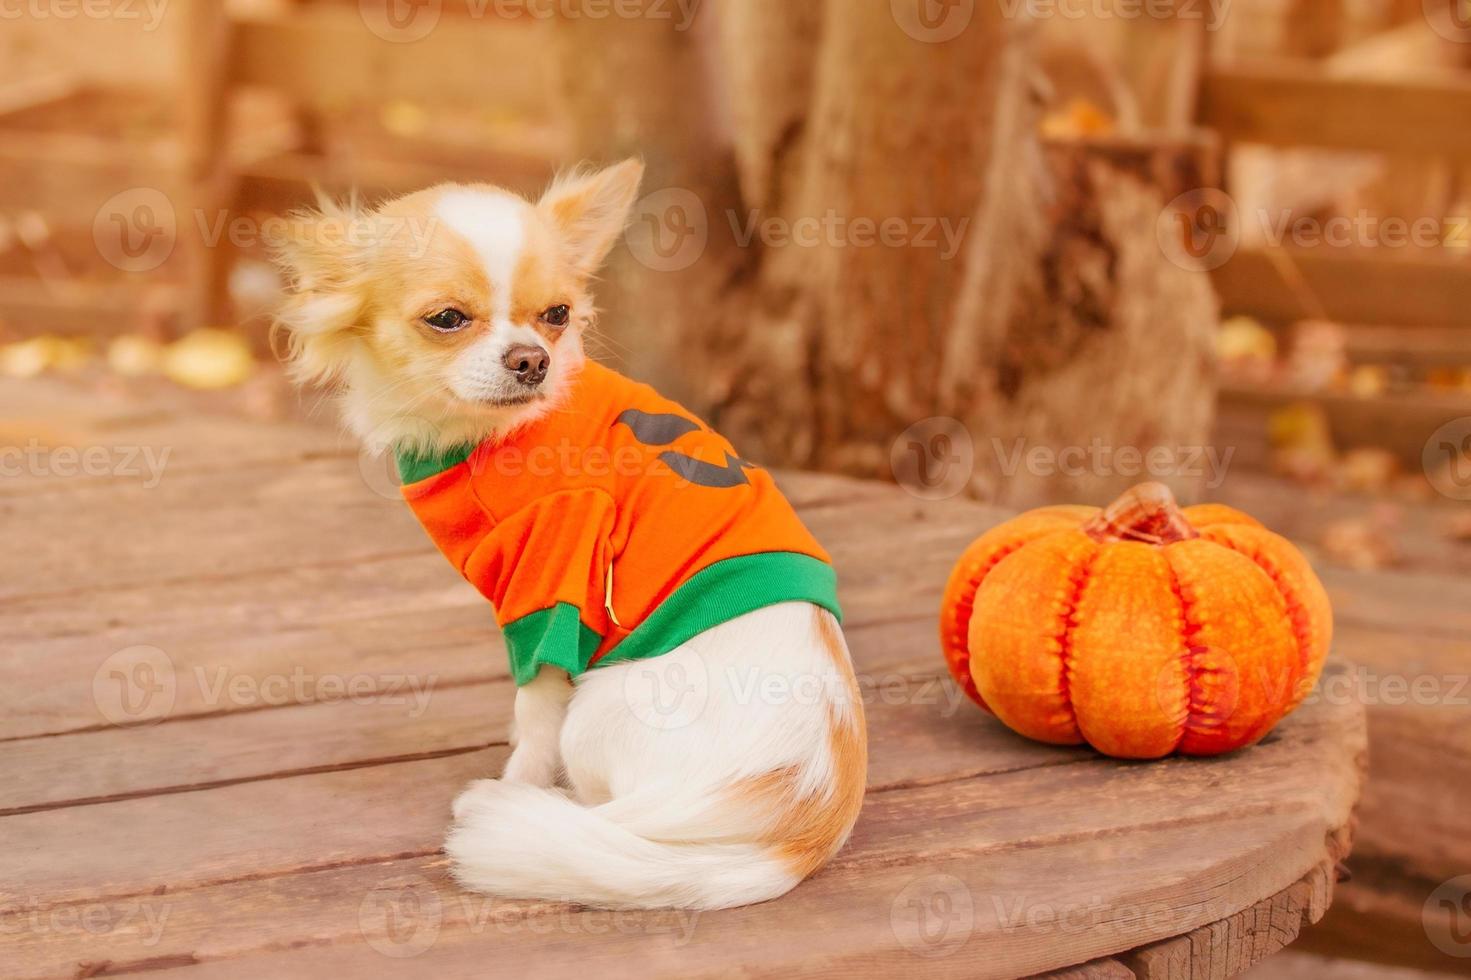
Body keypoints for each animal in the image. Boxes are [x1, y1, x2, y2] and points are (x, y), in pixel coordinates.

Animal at [272, 160, 864, 906]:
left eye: (555, 316)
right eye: (447, 319)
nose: (532, 359)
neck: (487, 436)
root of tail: (799, 827)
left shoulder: (549, 584)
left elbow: (535, 716)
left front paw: (515, 784)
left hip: (604, 706)